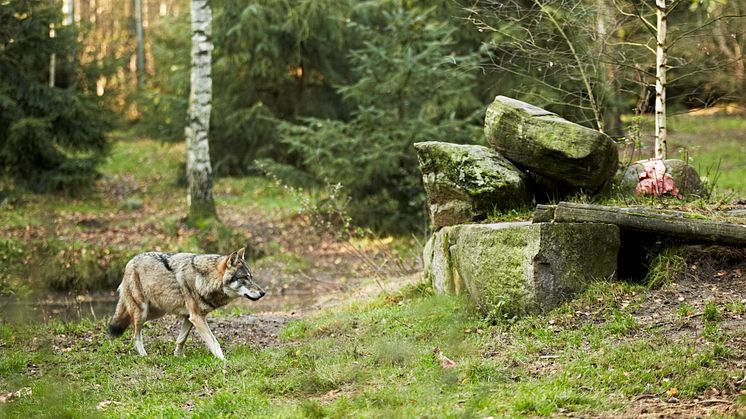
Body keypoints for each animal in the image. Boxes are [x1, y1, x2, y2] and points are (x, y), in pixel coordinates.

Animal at [107, 246, 264, 360]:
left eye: (251, 277)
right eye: (244, 278)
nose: (263, 293)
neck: (204, 278)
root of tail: (129, 262)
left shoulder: (190, 317)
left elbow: (181, 339)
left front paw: (178, 356)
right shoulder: (197, 317)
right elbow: (214, 343)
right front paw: (223, 361)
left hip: (155, 312)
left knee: (128, 323)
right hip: (142, 312)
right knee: (135, 334)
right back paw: (143, 355)